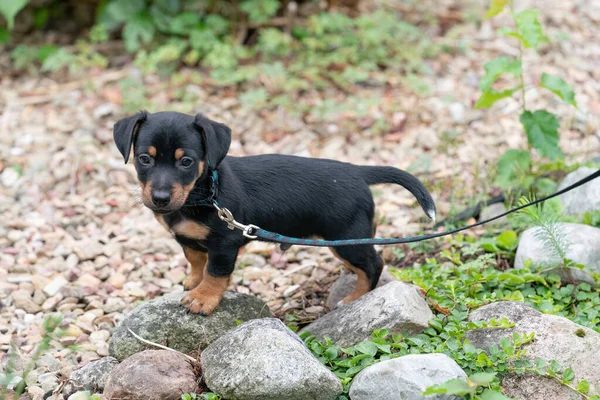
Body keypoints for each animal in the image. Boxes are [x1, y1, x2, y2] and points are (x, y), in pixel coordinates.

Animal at [112, 110, 434, 316]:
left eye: (186, 162)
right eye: (144, 159)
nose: (160, 199)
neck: (202, 194)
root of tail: (357, 171)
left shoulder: (225, 242)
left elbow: (215, 272)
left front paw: (203, 298)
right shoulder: (188, 239)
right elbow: (195, 259)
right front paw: (194, 281)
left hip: (346, 237)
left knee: (373, 264)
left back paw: (355, 298)